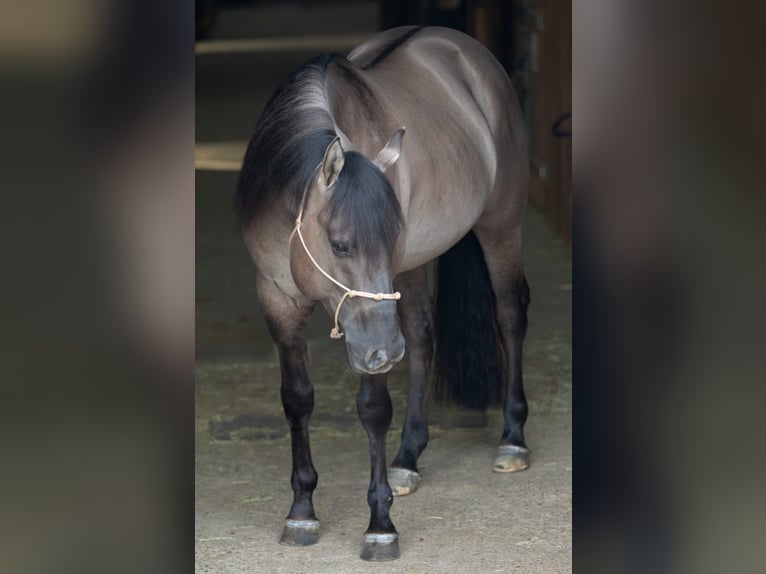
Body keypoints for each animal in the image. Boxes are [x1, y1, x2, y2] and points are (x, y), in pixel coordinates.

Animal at [236, 26, 531, 561]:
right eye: (340, 244)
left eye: (394, 235)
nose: (384, 352)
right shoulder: (279, 303)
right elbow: (297, 400)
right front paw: (302, 510)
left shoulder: (370, 330)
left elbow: (373, 411)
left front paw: (380, 524)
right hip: (413, 275)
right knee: (422, 336)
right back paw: (409, 457)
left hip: (500, 228)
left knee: (509, 316)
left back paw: (513, 439)